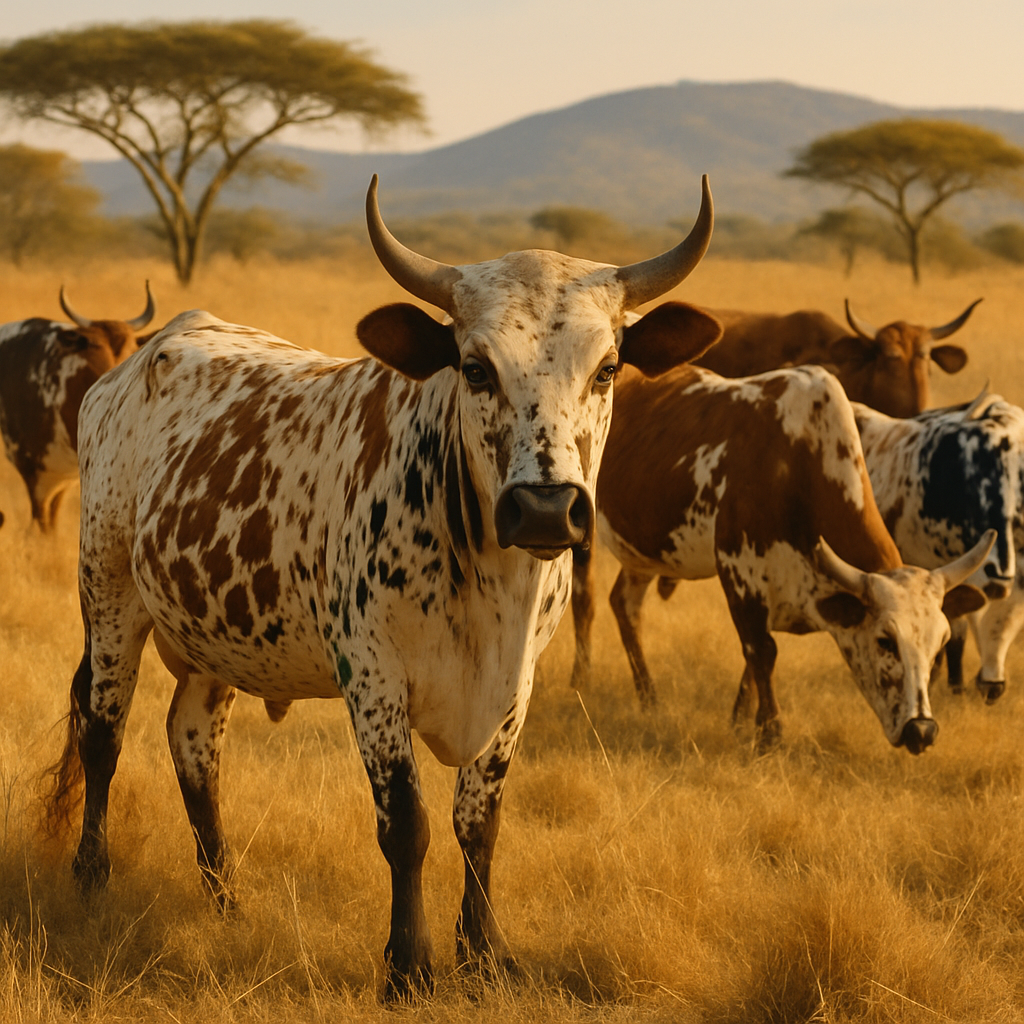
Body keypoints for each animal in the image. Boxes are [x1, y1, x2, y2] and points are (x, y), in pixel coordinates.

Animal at [44, 175, 722, 1000]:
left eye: (609, 367)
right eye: (475, 367)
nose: (545, 508)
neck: (491, 584)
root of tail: (146, 354)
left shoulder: (517, 686)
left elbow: (480, 821)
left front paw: (487, 954)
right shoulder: (373, 678)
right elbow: (408, 825)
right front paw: (409, 965)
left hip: (214, 632)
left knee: (194, 745)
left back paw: (226, 900)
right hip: (109, 600)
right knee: (103, 732)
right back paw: (92, 878)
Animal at [570, 360, 992, 752]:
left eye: (940, 643)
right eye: (885, 641)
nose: (922, 731)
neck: (799, 460)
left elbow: (753, 663)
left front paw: (741, 720)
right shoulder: (739, 572)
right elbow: (761, 651)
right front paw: (769, 733)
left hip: (643, 550)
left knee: (625, 604)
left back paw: (649, 698)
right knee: (585, 599)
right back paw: (581, 684)